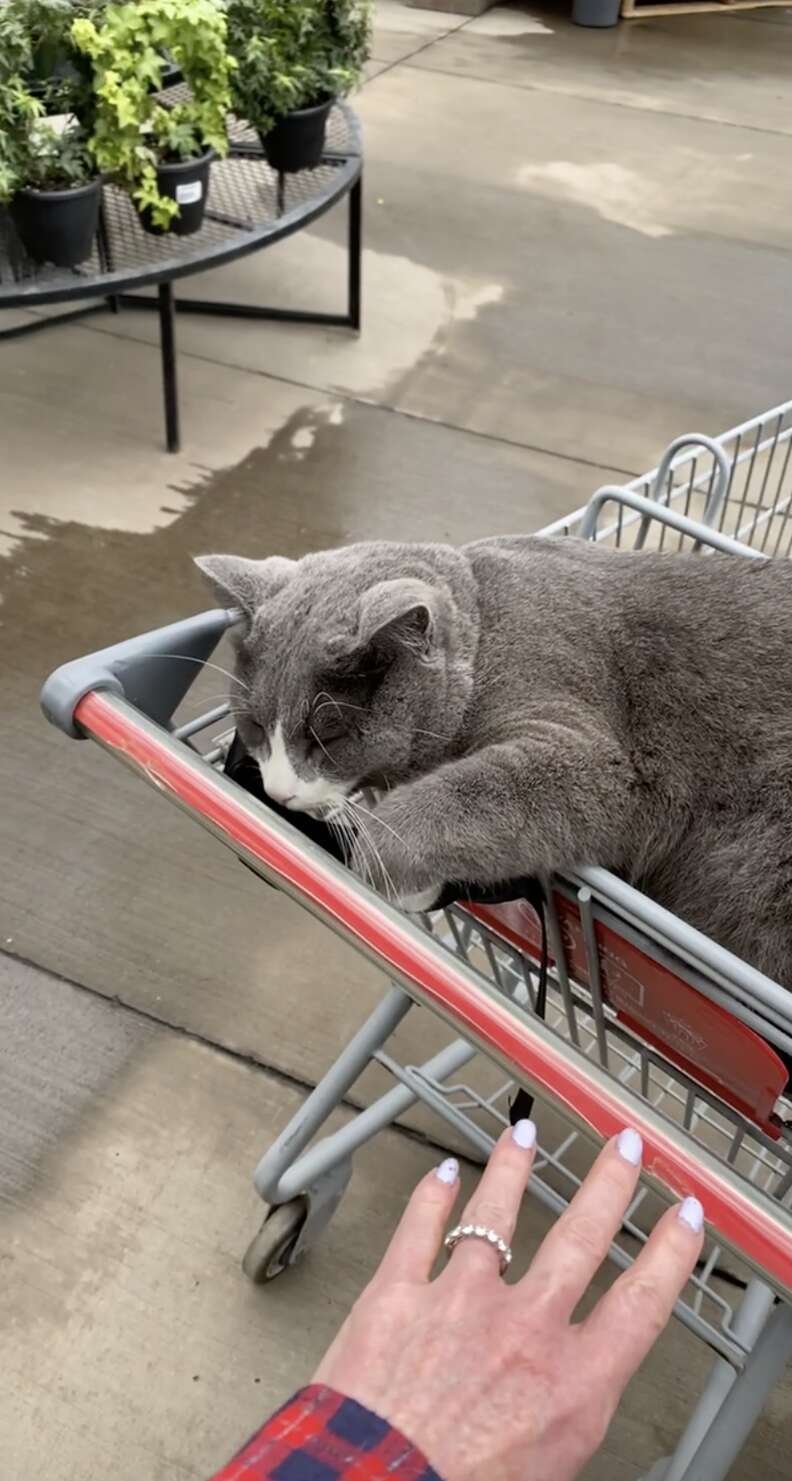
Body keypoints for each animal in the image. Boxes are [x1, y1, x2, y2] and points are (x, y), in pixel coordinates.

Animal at [195, 539, 792, 989]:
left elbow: (473, 790)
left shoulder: (589, 746)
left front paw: (377, 858)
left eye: (328, 735)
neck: (486, 623)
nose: (278, 793)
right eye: (254, 728)